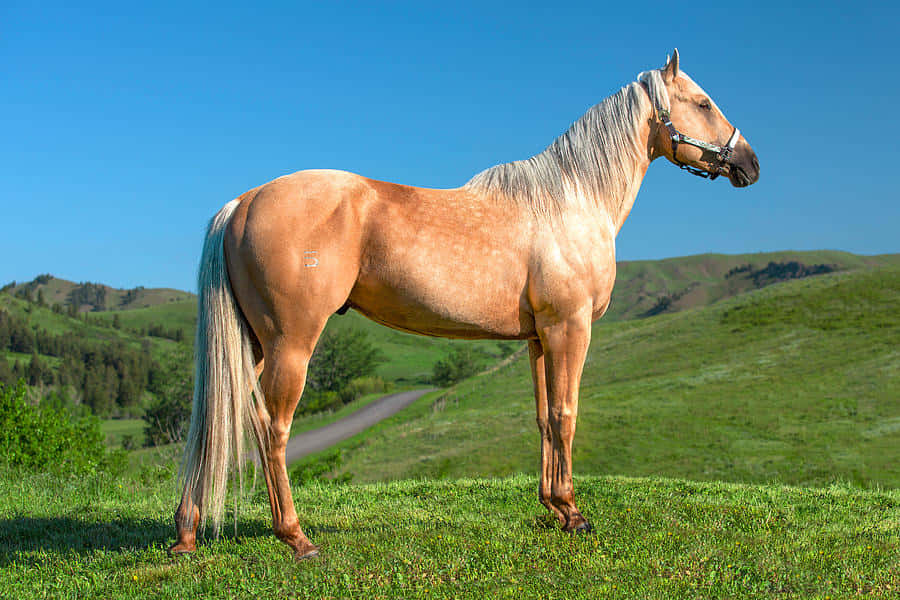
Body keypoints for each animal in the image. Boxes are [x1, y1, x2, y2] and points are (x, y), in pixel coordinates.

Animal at [169, 49, 760, 560]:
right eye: (703, 103)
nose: (750, 164)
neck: (571, 199)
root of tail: (242, 202)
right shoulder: (570, 329)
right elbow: (567, 414)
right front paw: (576, 515)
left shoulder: (538, 339)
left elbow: (543, 418)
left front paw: (555, 508)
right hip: (290, 345)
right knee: (272, 428)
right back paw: (296, 537)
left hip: (254, 345)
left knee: (214, 421)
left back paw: (187, 535)